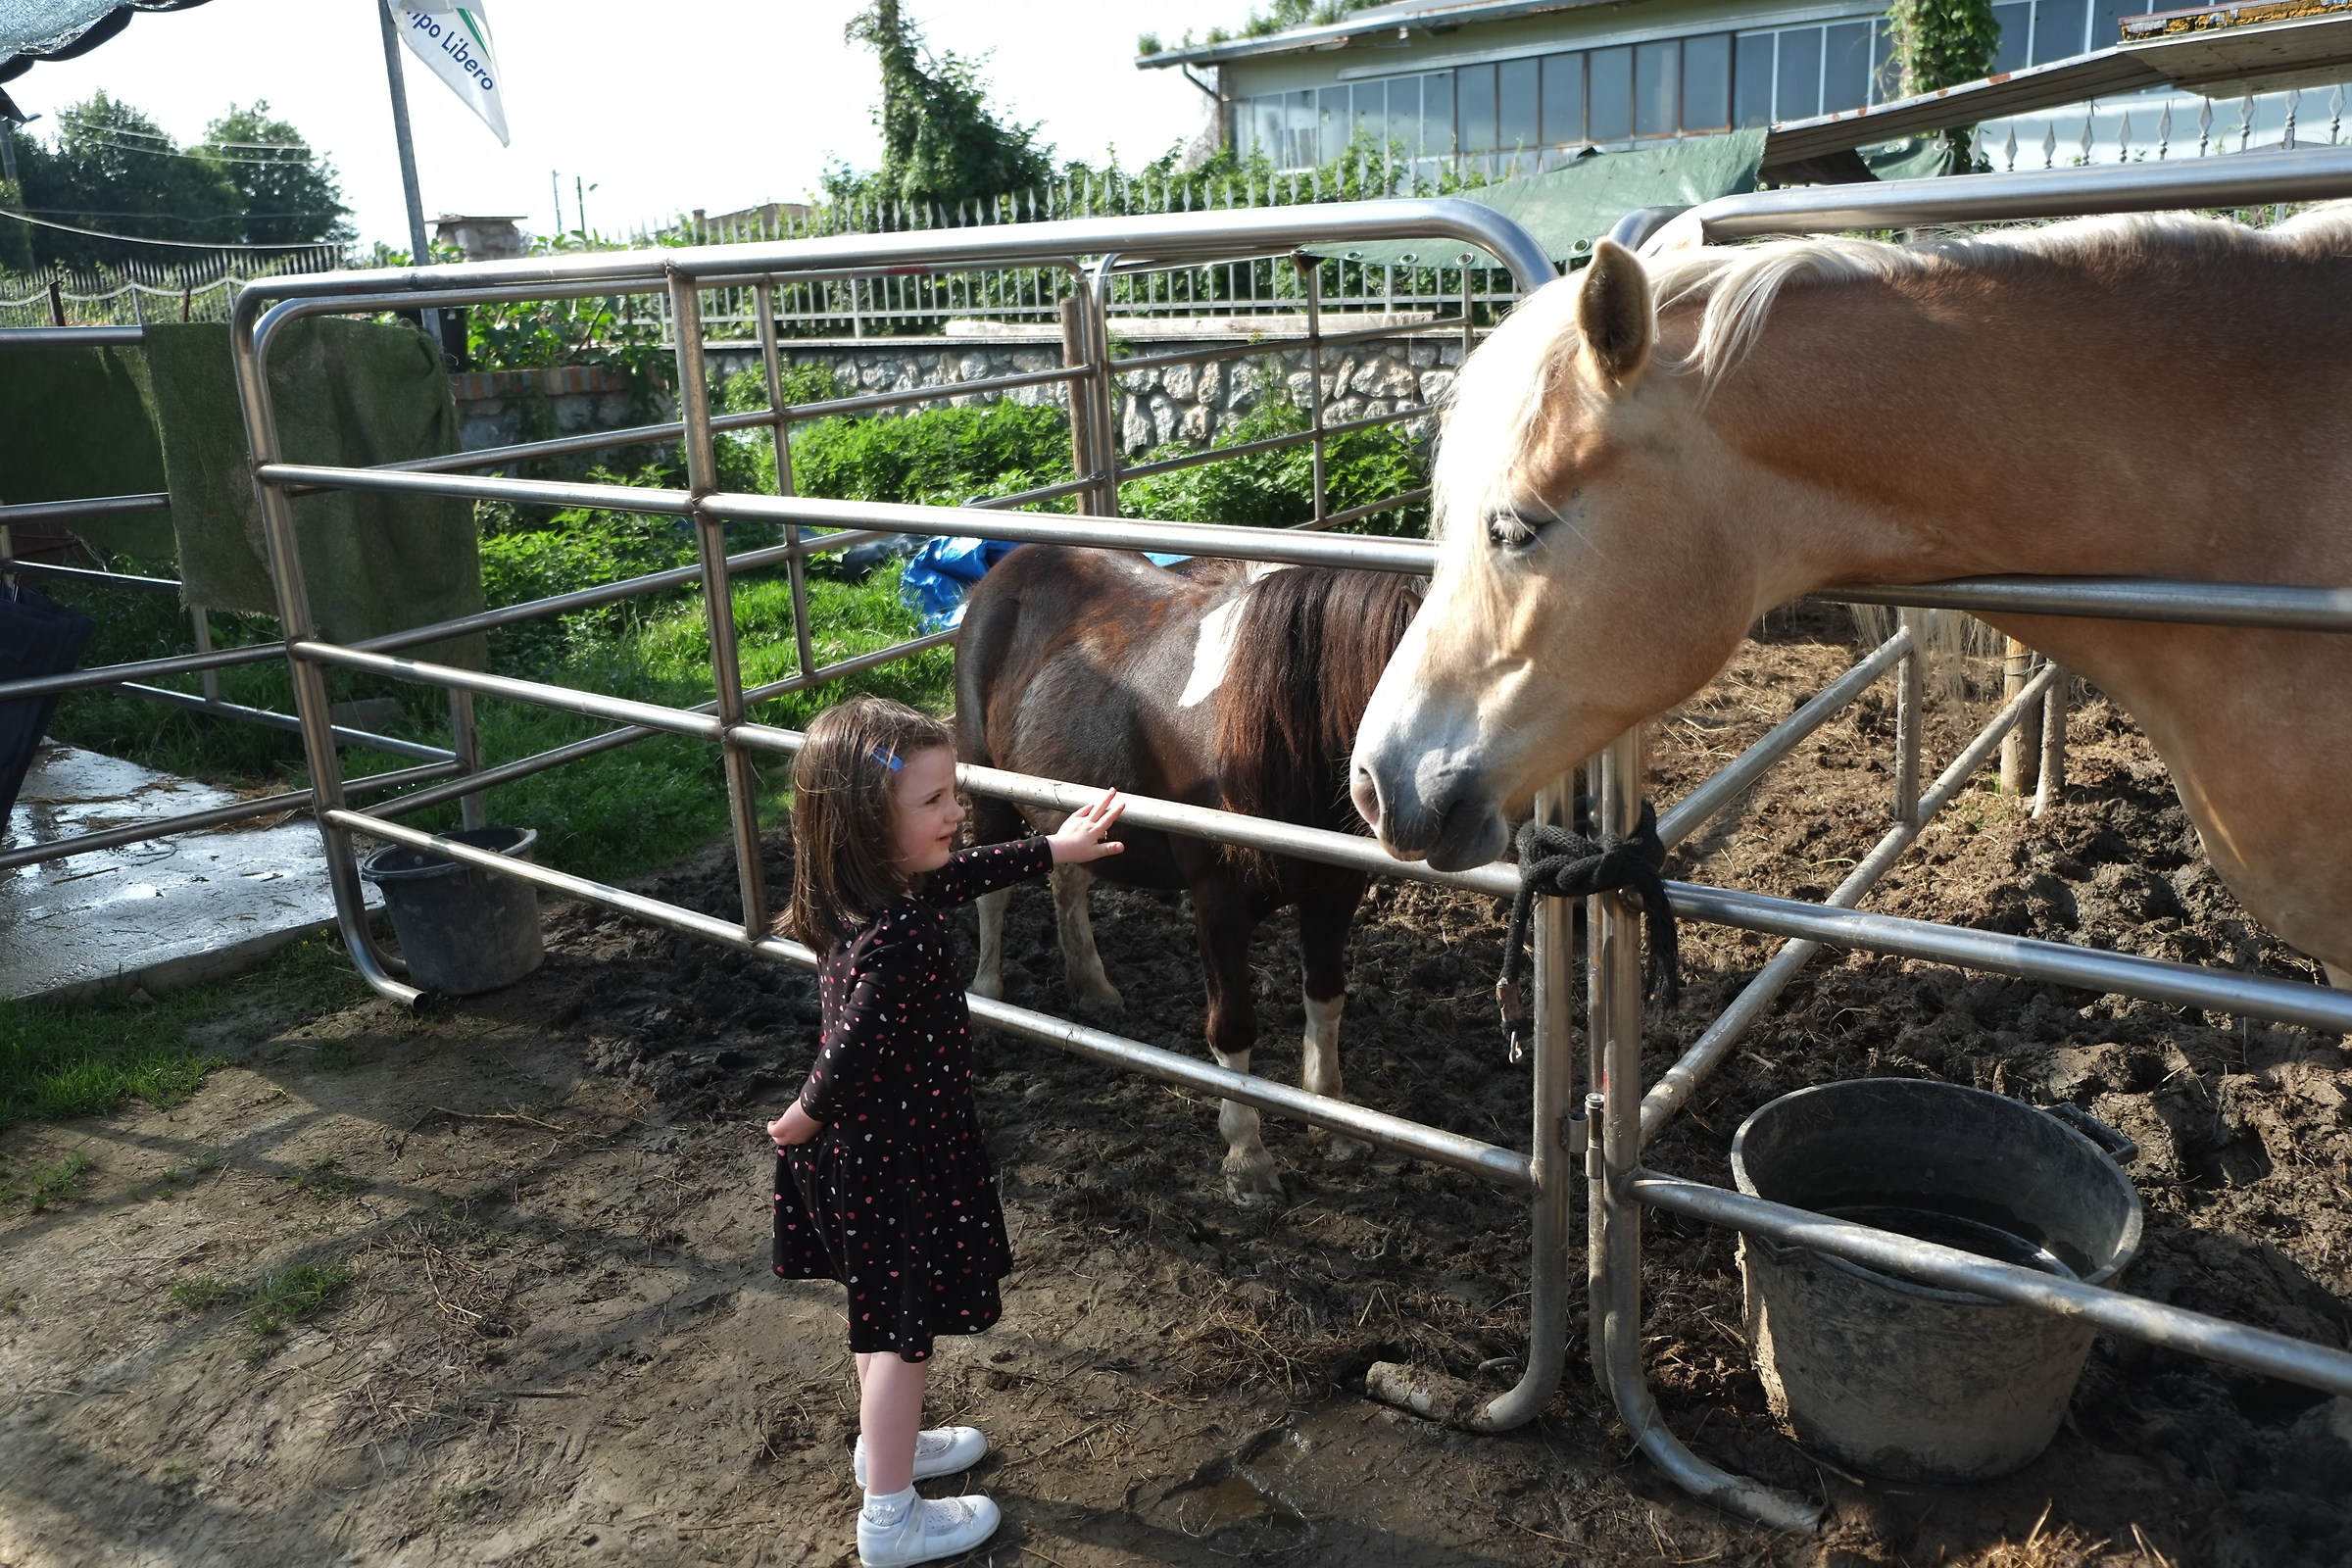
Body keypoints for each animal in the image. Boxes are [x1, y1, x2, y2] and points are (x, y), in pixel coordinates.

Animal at [954, 544, 1424, 1207]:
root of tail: (1004, 569)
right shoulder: (1217, 905)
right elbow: (1232, 1027)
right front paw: (1247, 1159)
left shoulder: (1334, 893)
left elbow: (1326, 1000)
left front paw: (1335, 1123)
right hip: (988, 789)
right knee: (992, 894)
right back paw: (990, 997)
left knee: (1068, 883)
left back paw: (1093, 987)